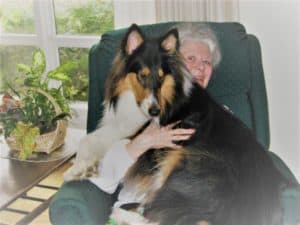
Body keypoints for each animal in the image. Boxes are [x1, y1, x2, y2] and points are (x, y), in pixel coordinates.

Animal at [65, 23, 286, 224]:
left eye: (161, 77)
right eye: (142, 75)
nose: (155, 111)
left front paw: (77, 170)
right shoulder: (122, 126)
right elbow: (89, 139)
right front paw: (79, 168)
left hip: (183, 160)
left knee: (160, 216)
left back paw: (121, 213)